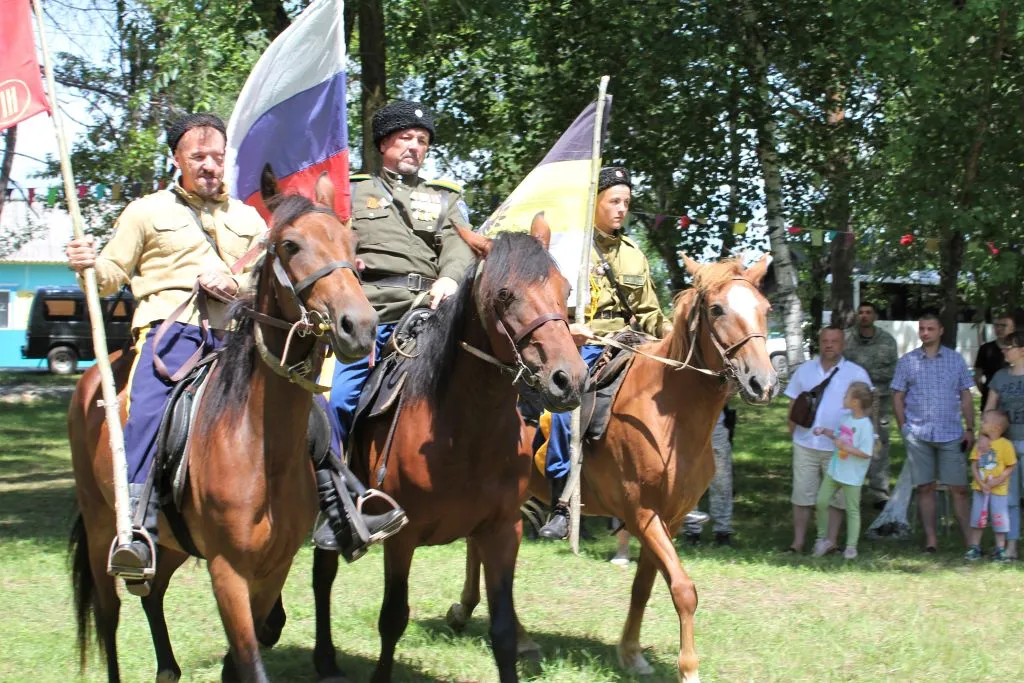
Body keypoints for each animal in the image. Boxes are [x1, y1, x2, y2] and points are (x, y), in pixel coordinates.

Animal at [69, 178, 380, 683]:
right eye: (290, 245)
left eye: (352, 246)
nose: (360, 326)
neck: (258, 444)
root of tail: (95, 375)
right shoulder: (228, 570)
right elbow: (251, 661)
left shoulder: (273, 568)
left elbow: (249, 650)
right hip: (100, 528)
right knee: (109, 613)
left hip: (170, 541)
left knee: (154, 592)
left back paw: (168, 669)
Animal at [307, 220, 589, 683]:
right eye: (504, 293)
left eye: (564, 288)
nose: (568, 379)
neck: (464, 433)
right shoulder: (401, 537)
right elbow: (392, 618)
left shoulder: (502, 532)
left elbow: (503, 628)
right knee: (322, 573)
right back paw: (324, 658)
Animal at [448, 254, 774, 683]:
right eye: (717, 309)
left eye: (766, 309)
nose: (762, 382)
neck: (670, 416)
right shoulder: (641, 513)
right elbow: (683, 590)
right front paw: (689, 668)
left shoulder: (668, 519)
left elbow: (645, 586)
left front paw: (631, 653)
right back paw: (513, 634)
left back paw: (474, 614)